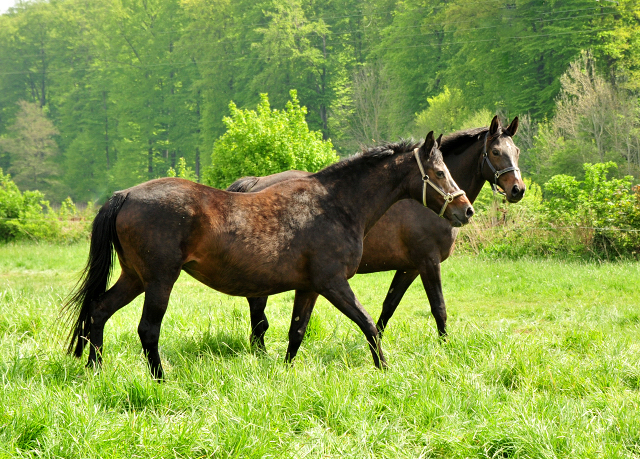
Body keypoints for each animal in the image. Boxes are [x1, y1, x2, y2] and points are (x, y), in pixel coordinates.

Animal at [63, 131, 476, 380]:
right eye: (439, 172)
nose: (466, 210)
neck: (337, 204)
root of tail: (124, 195)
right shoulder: (333, 283)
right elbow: (370, 324)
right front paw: (385, 369)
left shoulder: (309, 287)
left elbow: (297, 332)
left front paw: (286, 373)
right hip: (160, 280)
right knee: (147, 330)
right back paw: (160, 379)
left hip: (134, 277)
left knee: (99, 310)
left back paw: (96, 370)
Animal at [228, 115, 524, 348]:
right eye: (495, 152)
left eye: (517, 151)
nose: (517, 190)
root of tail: (255, 183)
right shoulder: (428, 261)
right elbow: (439, 308)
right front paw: (445, 348)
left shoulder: (409, 267)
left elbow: (388, 307)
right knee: (258, 318)